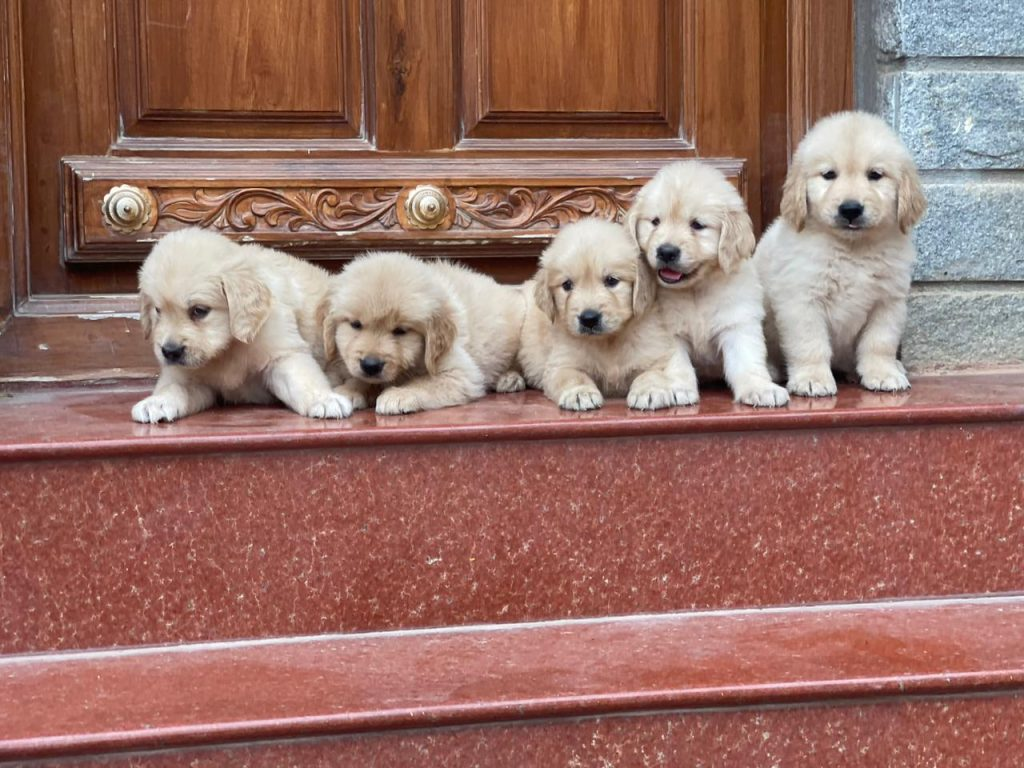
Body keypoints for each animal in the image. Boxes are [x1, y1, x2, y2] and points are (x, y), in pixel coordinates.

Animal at [132, 228, 352, 423]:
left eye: (199, 310)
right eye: (158, 310)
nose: (170, 351)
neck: (227, 348)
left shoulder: (282, 353)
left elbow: (301, 379)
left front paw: (324, 399)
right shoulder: (188, 375)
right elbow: (173, 387)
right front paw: (156, 402)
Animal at [520, 217, 696, 411]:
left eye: (611, 280)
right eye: (567, 285)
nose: (589, 319)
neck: (608, 341)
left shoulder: (656, 355)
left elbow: (651, 373)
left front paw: (649, 391)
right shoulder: (560, 363)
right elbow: (572, 376)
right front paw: (580, 393)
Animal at [622, 159, 790, 405]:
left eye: (697, 225)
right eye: (655, 222)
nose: (666, 251)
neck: (696, 289)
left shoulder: (738, 322)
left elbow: (747, 361)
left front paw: (760, 388)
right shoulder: (666, 331)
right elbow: (677, 363)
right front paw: (676, 388)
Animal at [753, 109, 929, 397]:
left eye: (875, 175)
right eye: (829, 175)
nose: (850, 209)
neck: (852, 249)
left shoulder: (888, 301)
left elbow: (879, 342)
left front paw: (882, 373)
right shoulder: (802, 300)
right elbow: (810, 344)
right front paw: (812, 378)